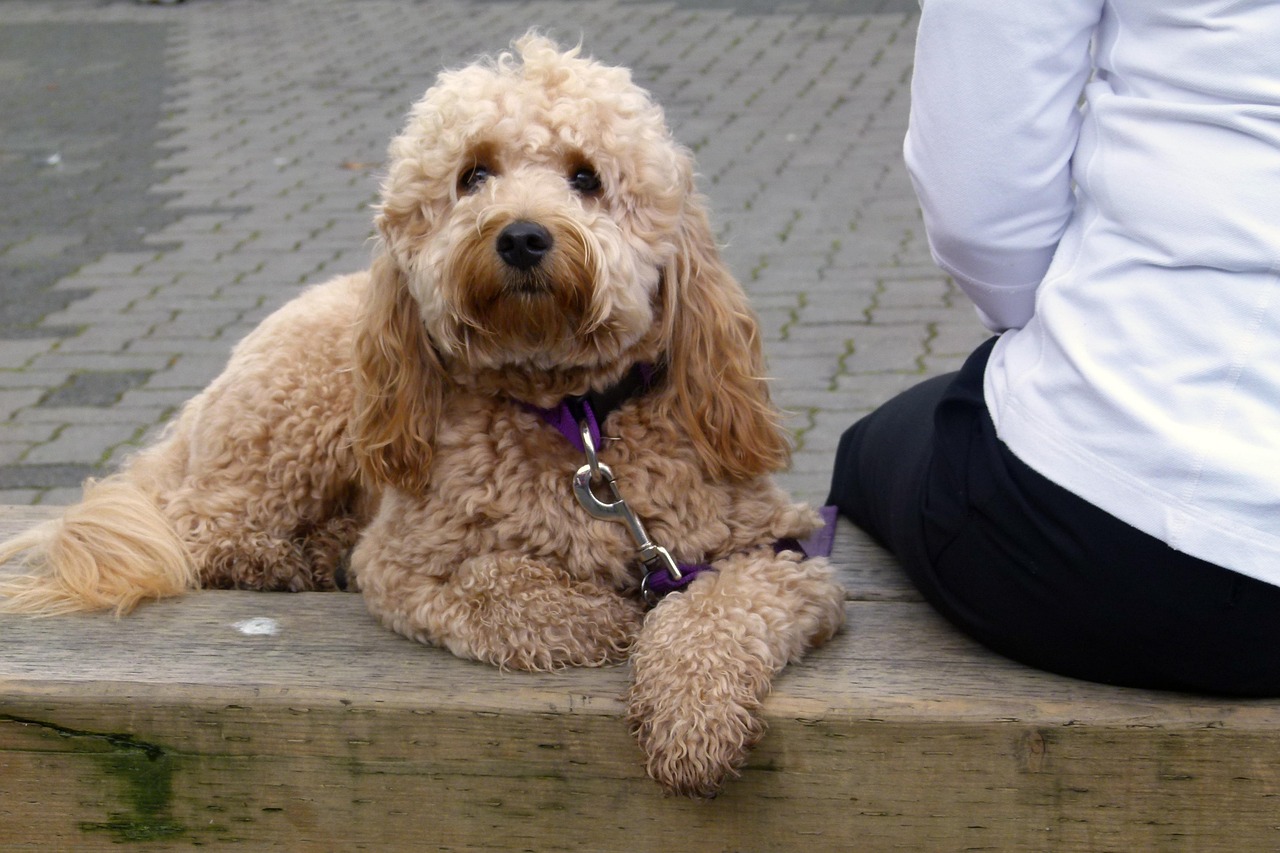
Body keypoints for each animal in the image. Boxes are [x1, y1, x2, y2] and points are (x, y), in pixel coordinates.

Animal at [2, 34, 849, 799]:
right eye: (473, 174)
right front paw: (587, 614)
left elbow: (719, 610)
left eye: (587, 177)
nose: (522, 235)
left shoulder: (781, 551)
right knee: (201, 528)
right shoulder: (403, 561)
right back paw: (288, 559)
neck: (571, 420)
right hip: (296, 418)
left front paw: (692, 718)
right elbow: (492, 582)